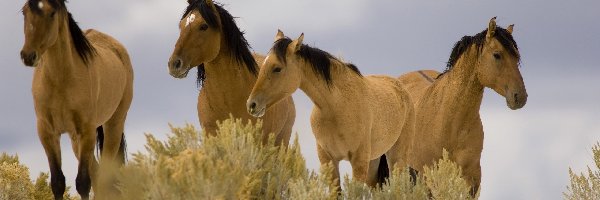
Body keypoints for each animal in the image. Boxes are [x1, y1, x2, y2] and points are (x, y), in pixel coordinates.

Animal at [19, 0, 131, 198]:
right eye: (24, 12)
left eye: (52, 13)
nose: (28, 55)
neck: (61, 80)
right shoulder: (47, 133)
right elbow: (58, 182)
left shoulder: (86, 131)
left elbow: (83, 183)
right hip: (74, 139)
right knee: (97, 174)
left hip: (113, 125)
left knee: (105, 177)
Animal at [246, 30, 414, 188]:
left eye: (277, 68)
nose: (251, 104)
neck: (337, 106)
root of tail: (402, 88)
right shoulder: (328, 159)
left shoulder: (358, 161)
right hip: (374, 161)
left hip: (396, 158)